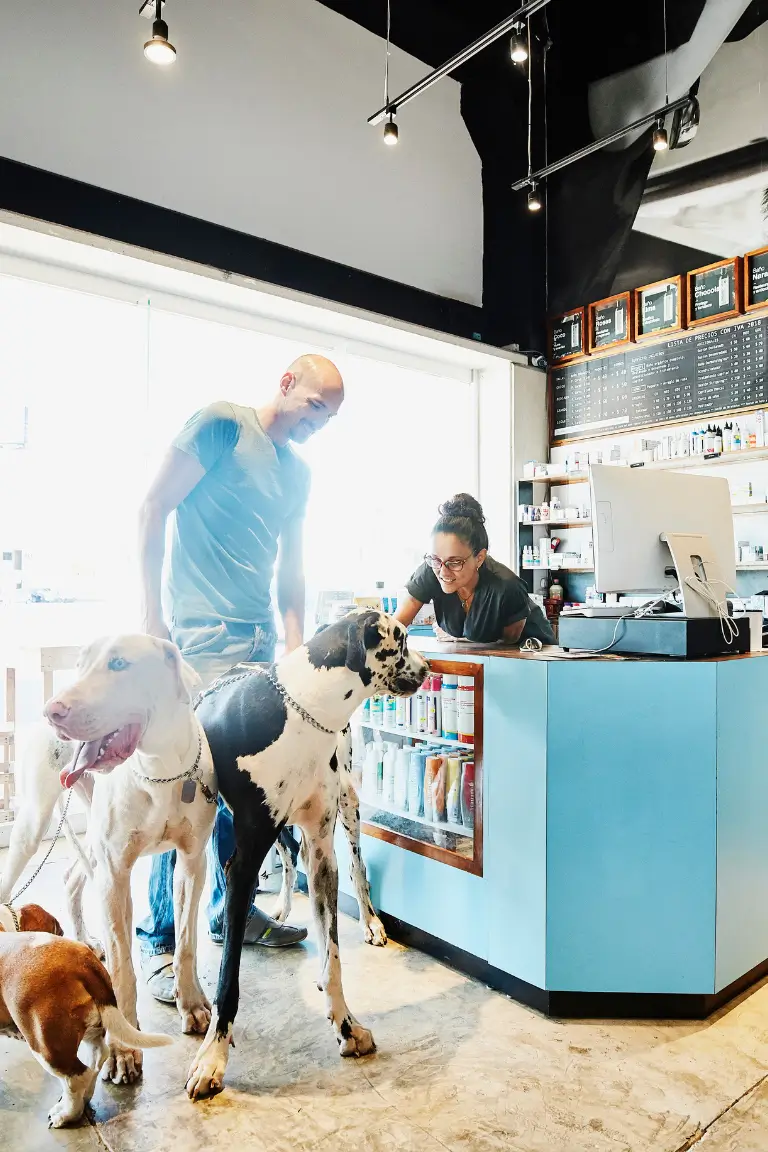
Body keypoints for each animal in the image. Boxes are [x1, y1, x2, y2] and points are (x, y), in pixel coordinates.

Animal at [0, 898, 171, 1124]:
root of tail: (84, 964)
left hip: (46, 1044)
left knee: (76, 1077)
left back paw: (66, 1114)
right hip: (88, 1026)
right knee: (97, 1057)